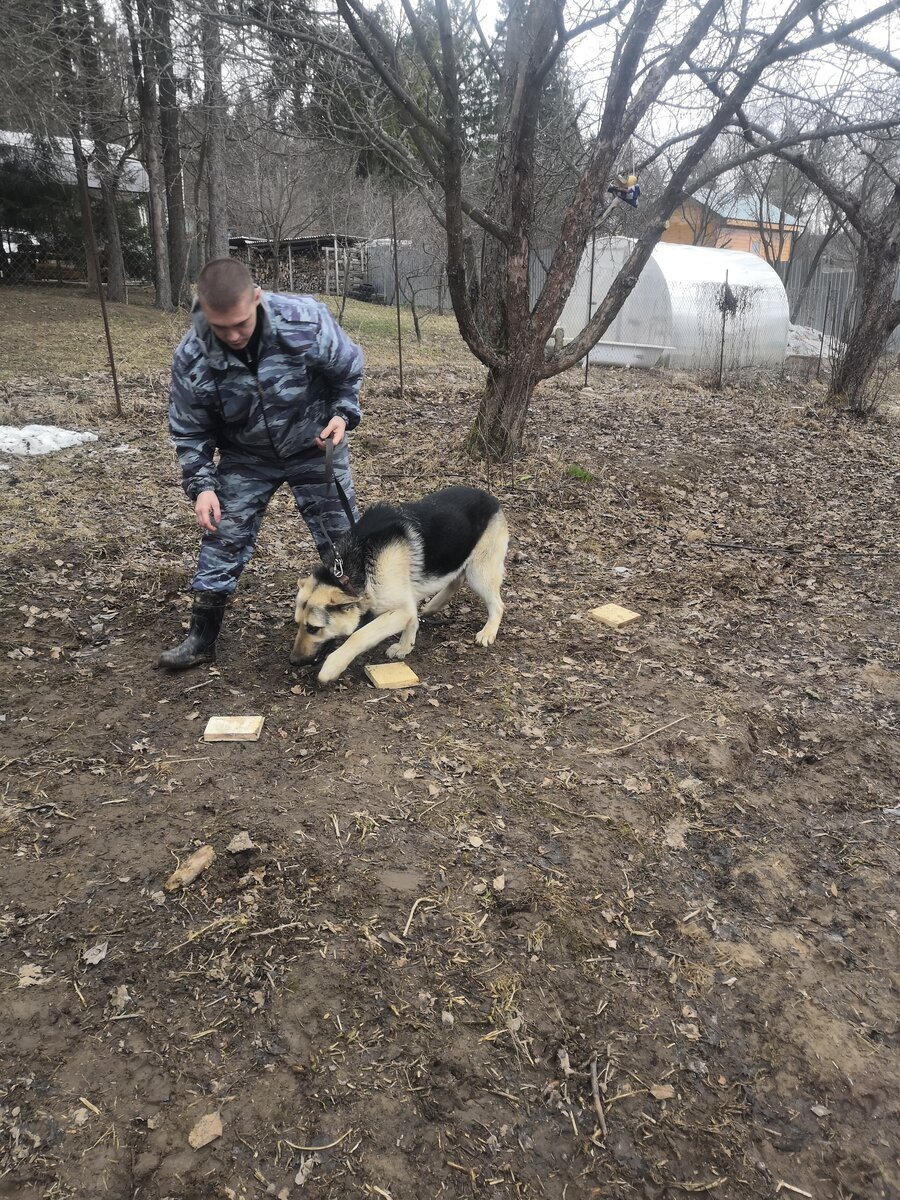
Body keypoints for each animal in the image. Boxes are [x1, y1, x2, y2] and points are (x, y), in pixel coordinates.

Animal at [290, 482, 508, 681]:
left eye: (313, 628)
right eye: (298, 624)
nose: (293, 662)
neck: (361, 566)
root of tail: (492, 499)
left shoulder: (400, 610)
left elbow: (359, 635)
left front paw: (332, 666)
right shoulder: (406, 606)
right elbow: (412, 621)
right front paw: (406, 646)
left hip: (479, 574)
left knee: (498, 605)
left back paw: (488, 632)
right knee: (456, 579)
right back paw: (434, 605)